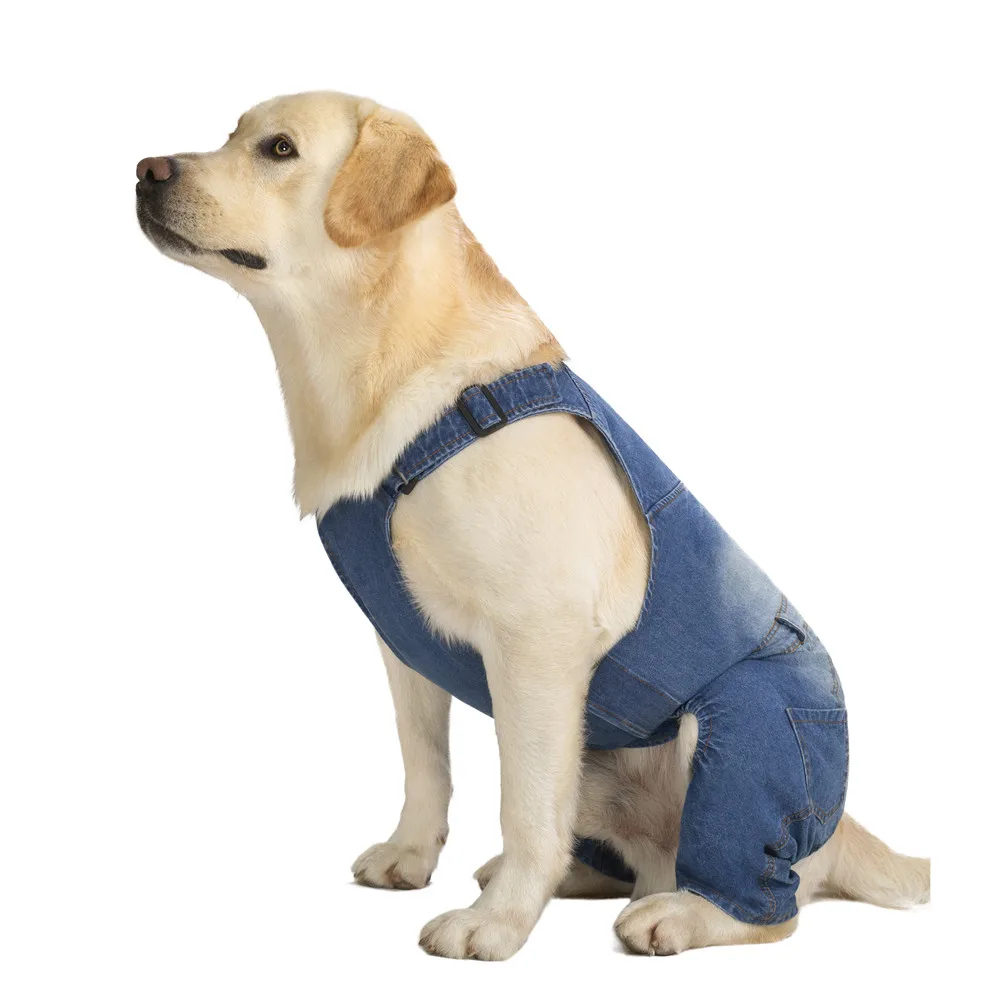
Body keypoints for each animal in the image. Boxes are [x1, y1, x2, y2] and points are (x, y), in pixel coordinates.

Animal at [136, 91, 930, 960]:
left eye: (279, 149)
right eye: (231, 135)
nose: (145, 170)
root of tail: (845, 828)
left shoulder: (537, 640)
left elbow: (522, 804)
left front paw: (497, 925)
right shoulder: (404, 645)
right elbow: (426, 766)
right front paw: (412, 856)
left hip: (741, 729)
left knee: (766, 900)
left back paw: (679, 912)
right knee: (628, 858)